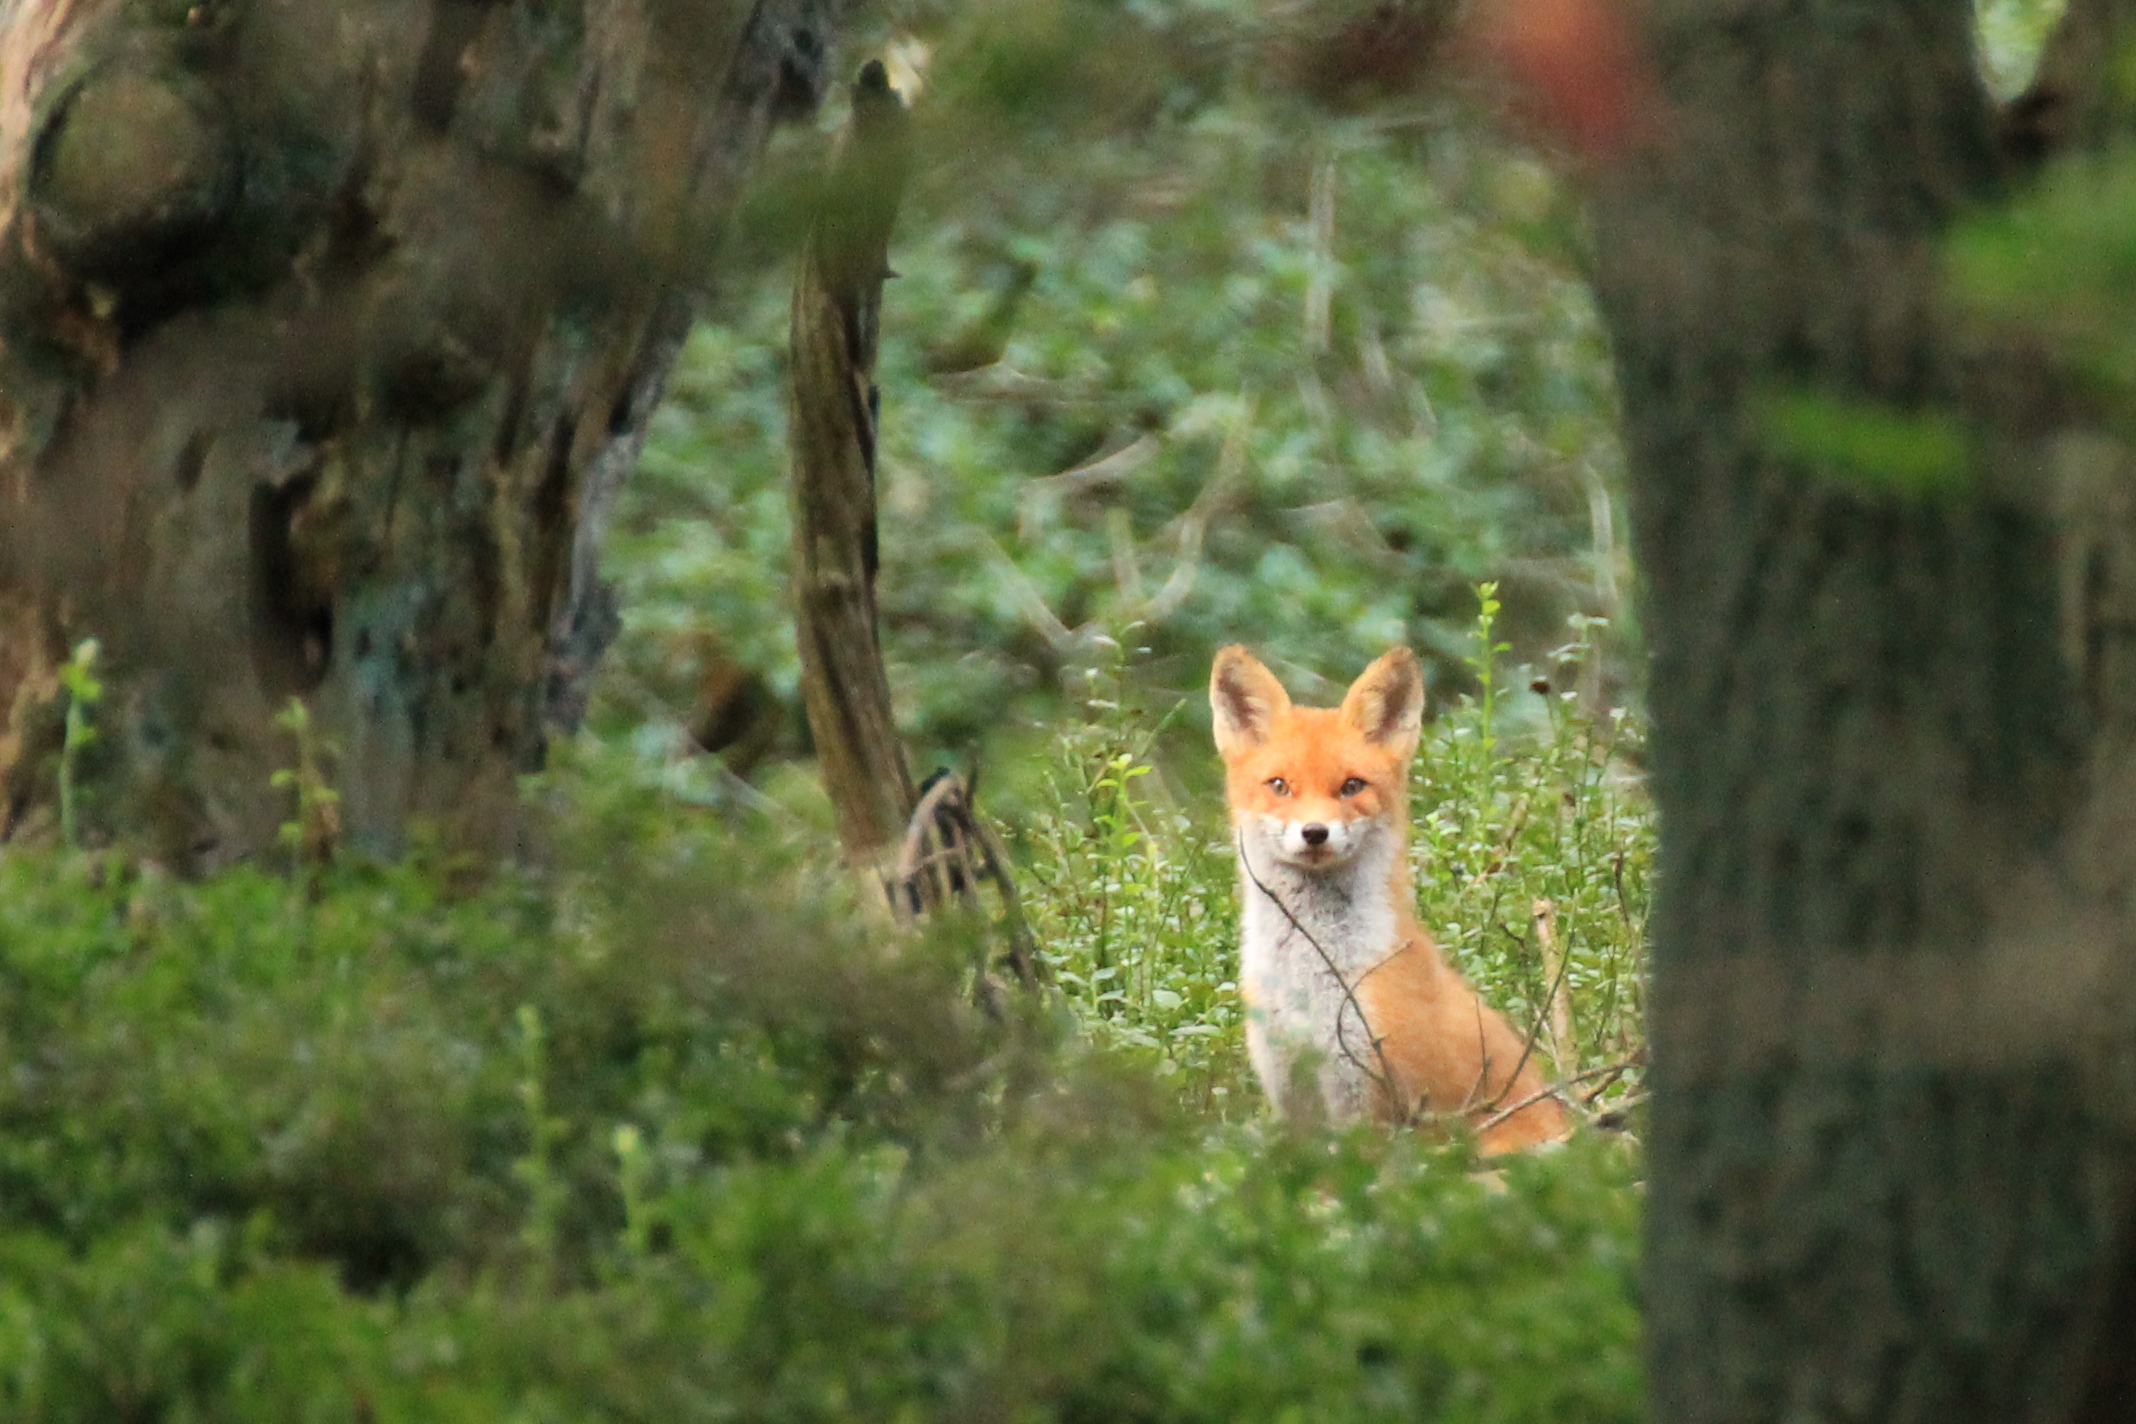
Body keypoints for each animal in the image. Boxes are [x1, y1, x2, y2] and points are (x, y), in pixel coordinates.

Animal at [1221, 644, 1572, 1161]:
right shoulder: (1291, 1093)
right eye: (1279, 785)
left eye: (1351, 786)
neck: (1308, 981)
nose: (1314, 832)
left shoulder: (1368, 1100)